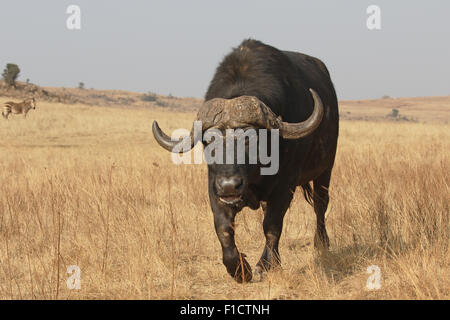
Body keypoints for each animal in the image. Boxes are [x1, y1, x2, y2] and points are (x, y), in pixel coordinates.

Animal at [152, 39, 338, 282]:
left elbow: (272, 226)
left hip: (325, 170)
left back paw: (321, 243)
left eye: (250, 138)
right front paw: (240, 269)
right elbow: (223, 228)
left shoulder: (285, 187)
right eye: (208, 141)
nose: (230, 186)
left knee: (320, 205)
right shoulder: (214, 188)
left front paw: (263, 265)